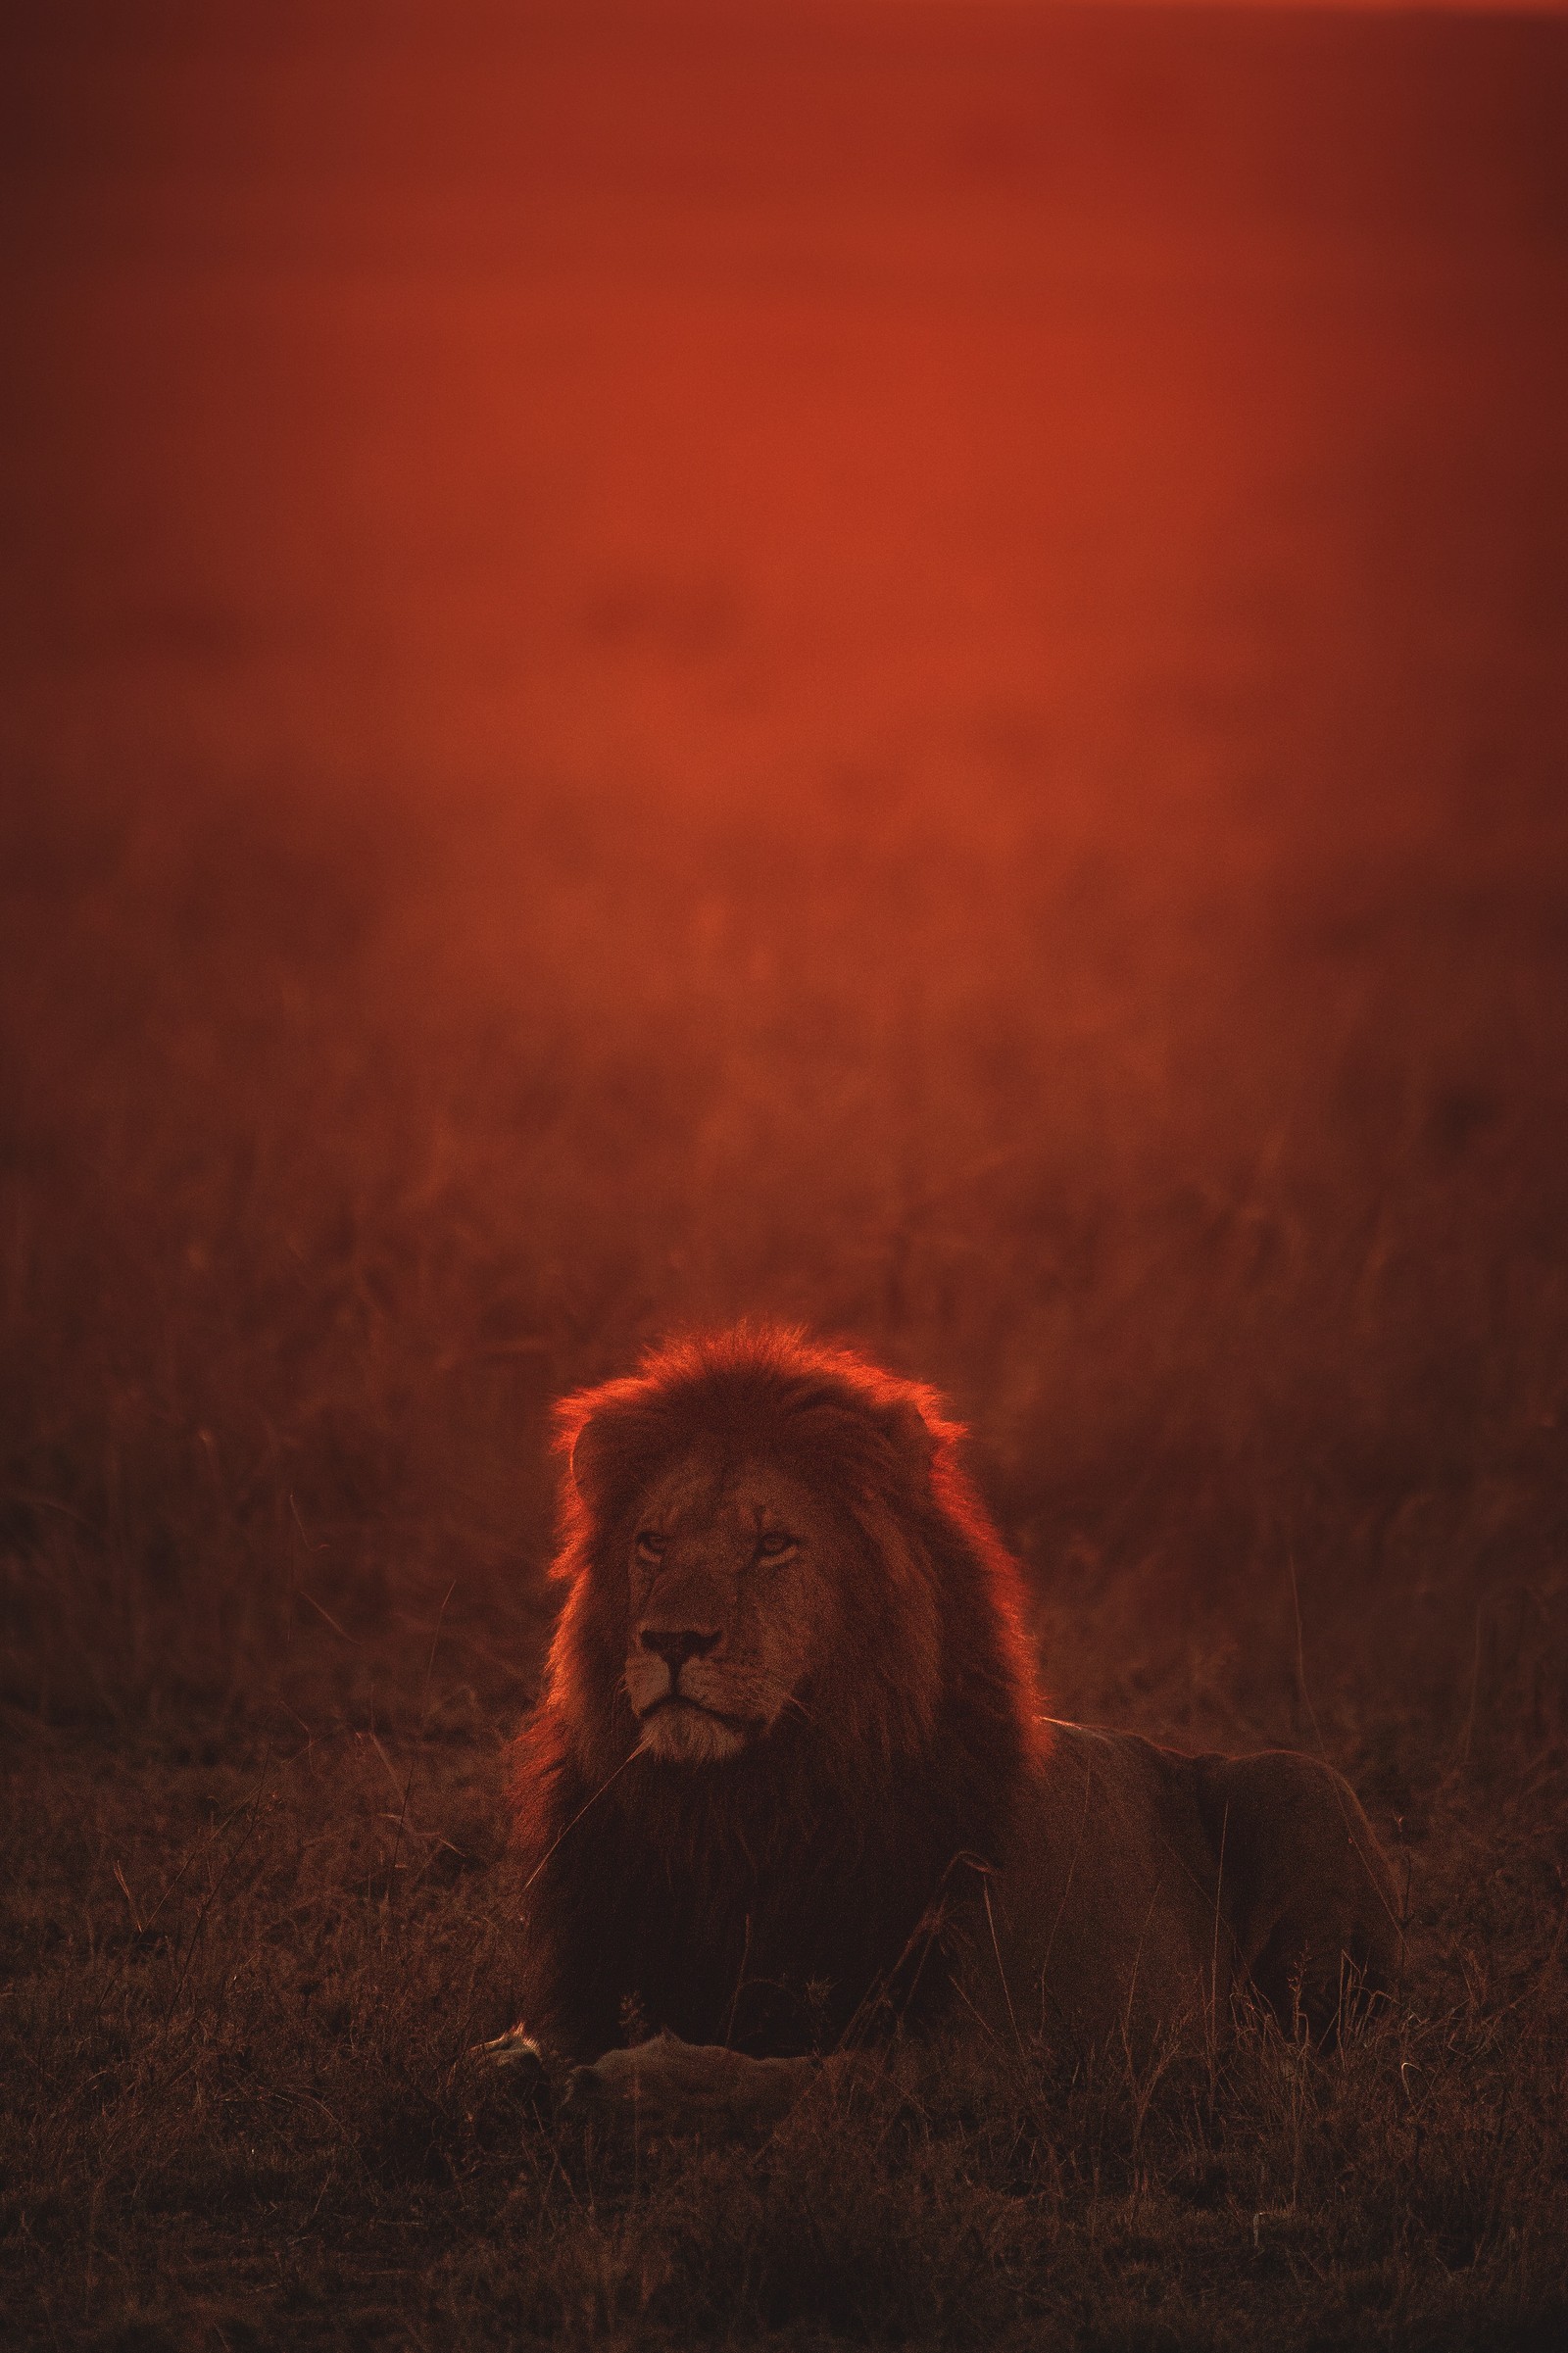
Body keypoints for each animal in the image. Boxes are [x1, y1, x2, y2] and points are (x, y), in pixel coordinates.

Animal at [496, 1336, 1394, 2127]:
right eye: (653, 1541)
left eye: (773, 1543)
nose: (672, 1640)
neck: (740, 1812)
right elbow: (512, 2055)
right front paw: (541, 2068)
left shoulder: (997, 2052)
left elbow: (811, 2077)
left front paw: (641, 2078)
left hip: (1303, 1784)